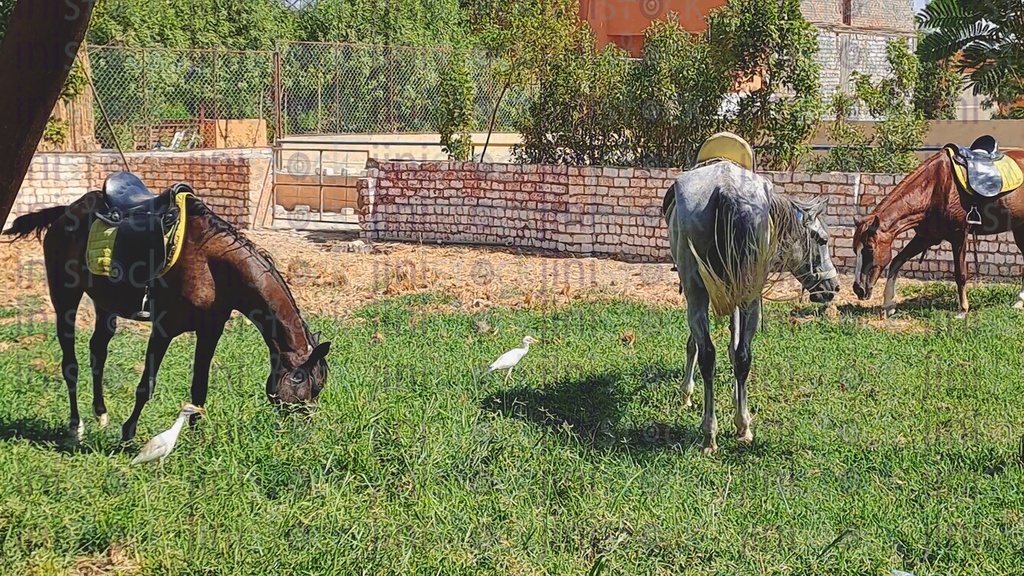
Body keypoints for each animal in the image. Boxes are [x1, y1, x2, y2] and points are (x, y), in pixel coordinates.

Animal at [2, 172, 332, 442]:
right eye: (308, 388)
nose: (305, 429)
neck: (209, 262)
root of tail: (65, 212)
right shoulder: (163, 329)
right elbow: (146, 384)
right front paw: (128, 433)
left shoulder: (209, 331)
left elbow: (199, 386)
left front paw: (196, 436)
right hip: (65, 299)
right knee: (69, 362)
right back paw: (76, 426)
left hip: (105, 304)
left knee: (98, 351)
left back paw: (101, 414)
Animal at [665, 158, 839, 454]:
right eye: (823, 239)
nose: (834, 287)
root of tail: (726, 189)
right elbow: (727, 349)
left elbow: (709, 346)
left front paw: (689, 392)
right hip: (741, 295)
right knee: (740, 355)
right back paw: (737, 426)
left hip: (703, 293)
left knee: (716, 355)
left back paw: (715, 432)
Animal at [852, 138, 1024, 318]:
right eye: (855, 250)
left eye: (869, 249)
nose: (858, 289)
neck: (934, 188)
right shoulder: (927, 237)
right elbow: (896, 261)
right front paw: (888, 305)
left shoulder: (959, 235)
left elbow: (960, 273)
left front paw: (963, 310)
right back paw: (1019, 302)